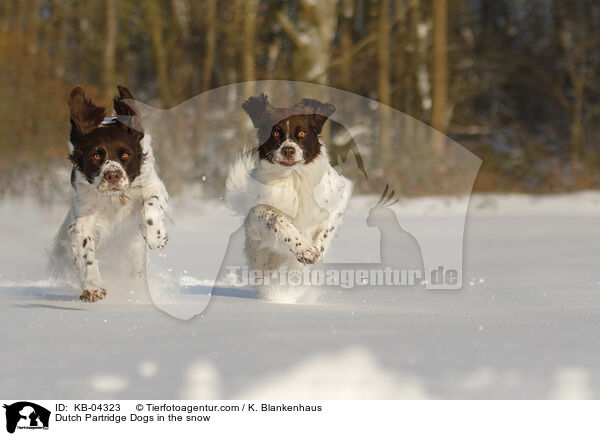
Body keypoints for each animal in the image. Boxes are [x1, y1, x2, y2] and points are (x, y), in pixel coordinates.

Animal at [49, 86, 169, 302]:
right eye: (96, 155)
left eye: (125, 154)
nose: (113, 175)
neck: (114, 199)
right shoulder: (82, 217)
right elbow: (85, 250)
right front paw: (92, 287)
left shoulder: (151, 185)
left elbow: (150, 207)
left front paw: (157, 238)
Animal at [227, 94, 354, 300]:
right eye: (275, 133)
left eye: (302, 133)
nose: (288, 150)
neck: (292, 177)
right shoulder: (257, 212)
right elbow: (277, 219)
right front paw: (304, 249)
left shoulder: (341, 194)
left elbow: (327, 229)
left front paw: (314, 251)